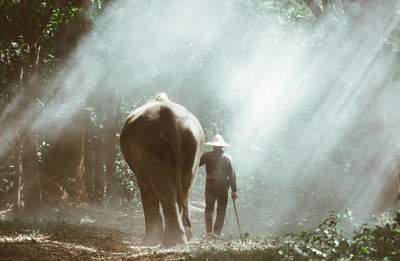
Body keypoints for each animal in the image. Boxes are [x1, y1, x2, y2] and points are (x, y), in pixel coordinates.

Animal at [119, 92, 205, 246]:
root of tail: (168, 114)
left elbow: (146, 186)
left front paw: (150, 241)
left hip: (151, 146)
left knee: (166, 190)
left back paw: (168, 240)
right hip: (192, 143)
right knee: (184, 188)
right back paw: (178, 239)